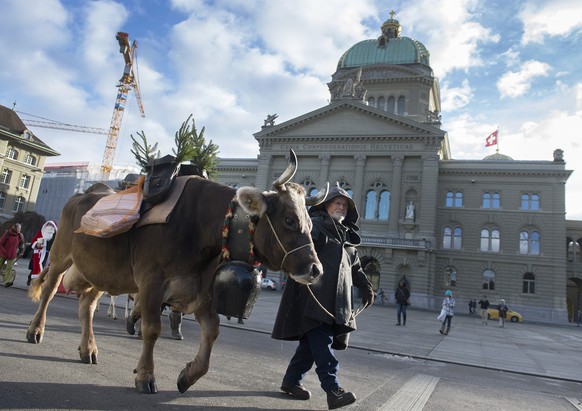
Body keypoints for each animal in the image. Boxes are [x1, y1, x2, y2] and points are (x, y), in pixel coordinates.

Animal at [27, 150, 326, 394]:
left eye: (311, 223)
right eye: (289, 220)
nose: (316, 269)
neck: (201, 226)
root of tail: (83, 193)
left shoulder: (200, 293)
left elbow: (212, 333)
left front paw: (187, 375)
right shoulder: (151, 284)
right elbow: (151, 329)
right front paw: (145, 376)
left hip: (101, 271)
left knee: (86, 306)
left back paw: (88, 349)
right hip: (61, 255)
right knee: (50, 290)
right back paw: (36, 331)